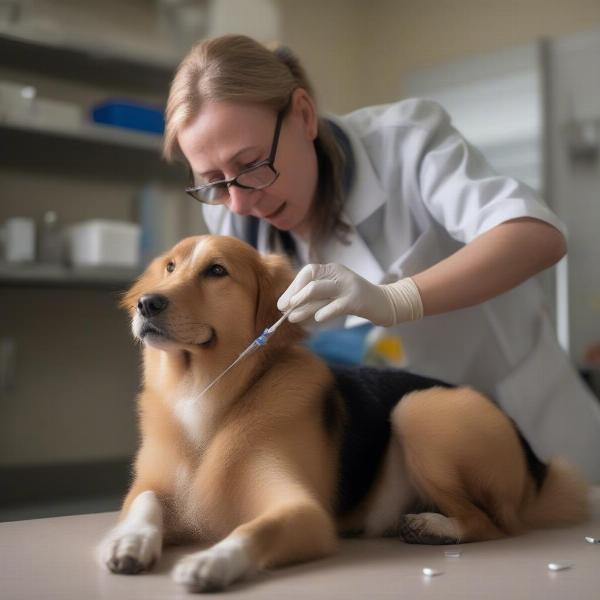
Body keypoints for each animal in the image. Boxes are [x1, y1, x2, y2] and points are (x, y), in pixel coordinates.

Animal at [98, 233, 592, 592]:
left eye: (216, 271)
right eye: (170, 267)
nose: (147, 303)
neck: (208, 396)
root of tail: (538, 467)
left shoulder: (302, 511)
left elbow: (254, 531)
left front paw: (210, 561)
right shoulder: (152, 484)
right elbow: (143, 504)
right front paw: (129, 540)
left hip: (418, 409)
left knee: (492, 524)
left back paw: (433, 525)